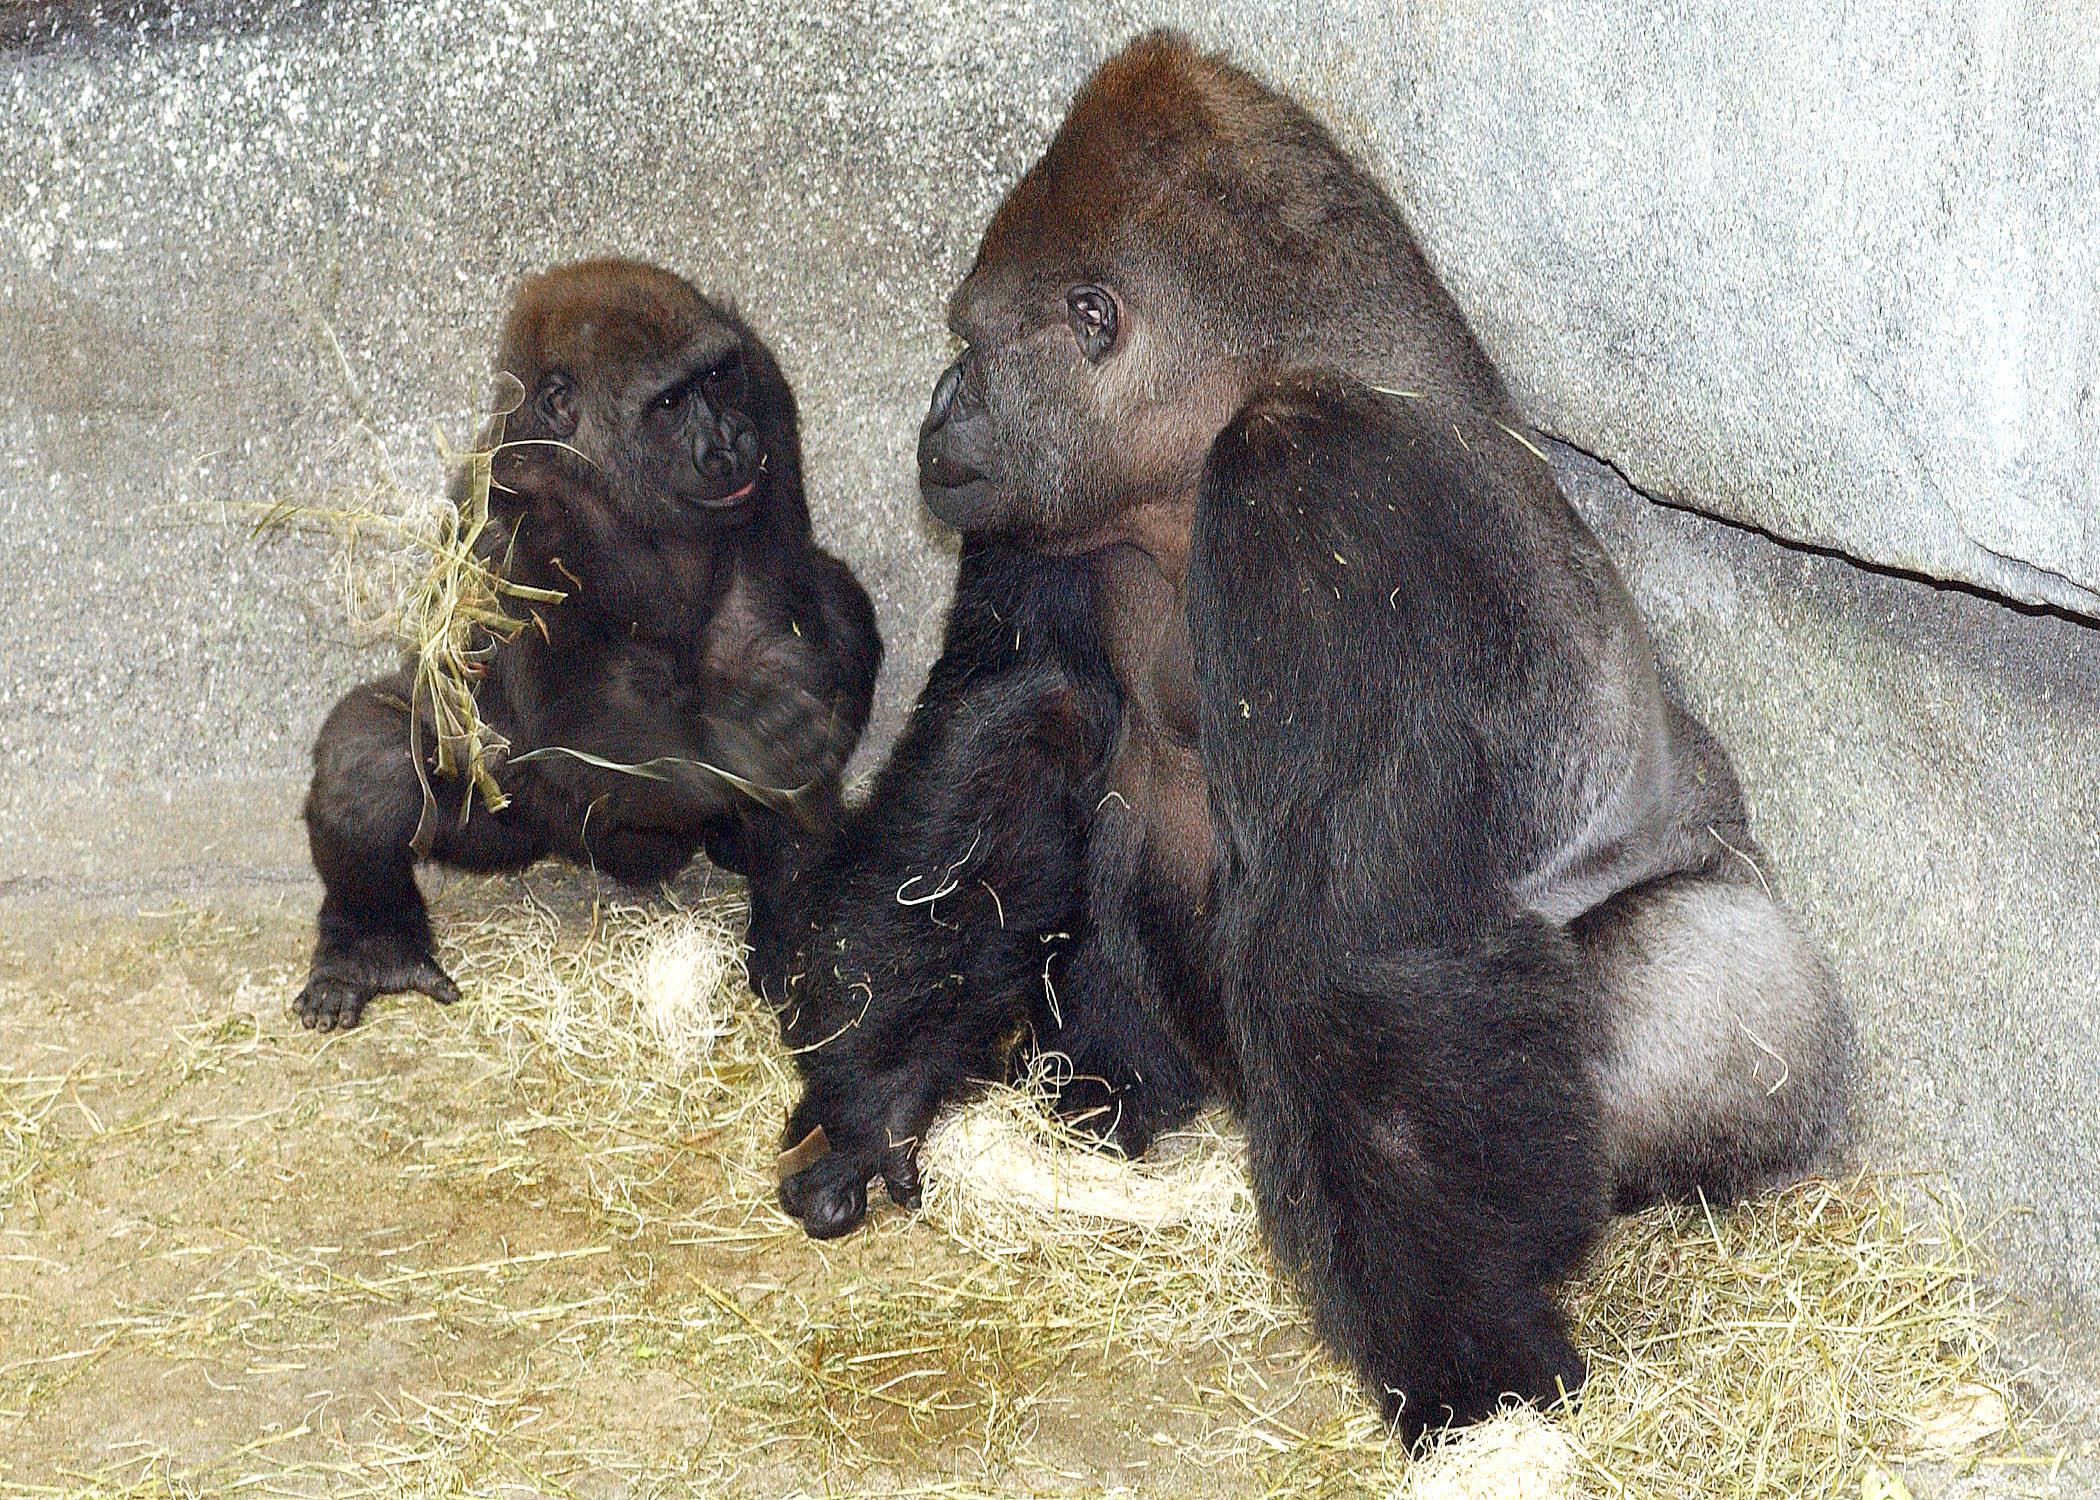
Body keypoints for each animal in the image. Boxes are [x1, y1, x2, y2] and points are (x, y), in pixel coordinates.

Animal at [296, 257, 877, 1029]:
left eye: (719, 379)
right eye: (669, 404)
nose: (730, 445)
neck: (597, 470)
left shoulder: (762, 379)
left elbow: (770, 626)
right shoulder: (514, 521)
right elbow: (574, 713)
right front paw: (751, 746)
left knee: (836, 603)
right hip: (513, 829)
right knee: (372, 754)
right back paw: (369, 945)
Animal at [760, 38, 1856, 1436]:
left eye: (972, 340)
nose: (939, 401)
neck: (1206, 438)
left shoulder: (1324, 487)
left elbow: (1358, 937)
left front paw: (1472, 1356)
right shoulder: (1053, 510)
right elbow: (1015, 735)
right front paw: (871, 1094)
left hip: (1769, 1026)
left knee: (1698, 981)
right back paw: (1113, 1100)